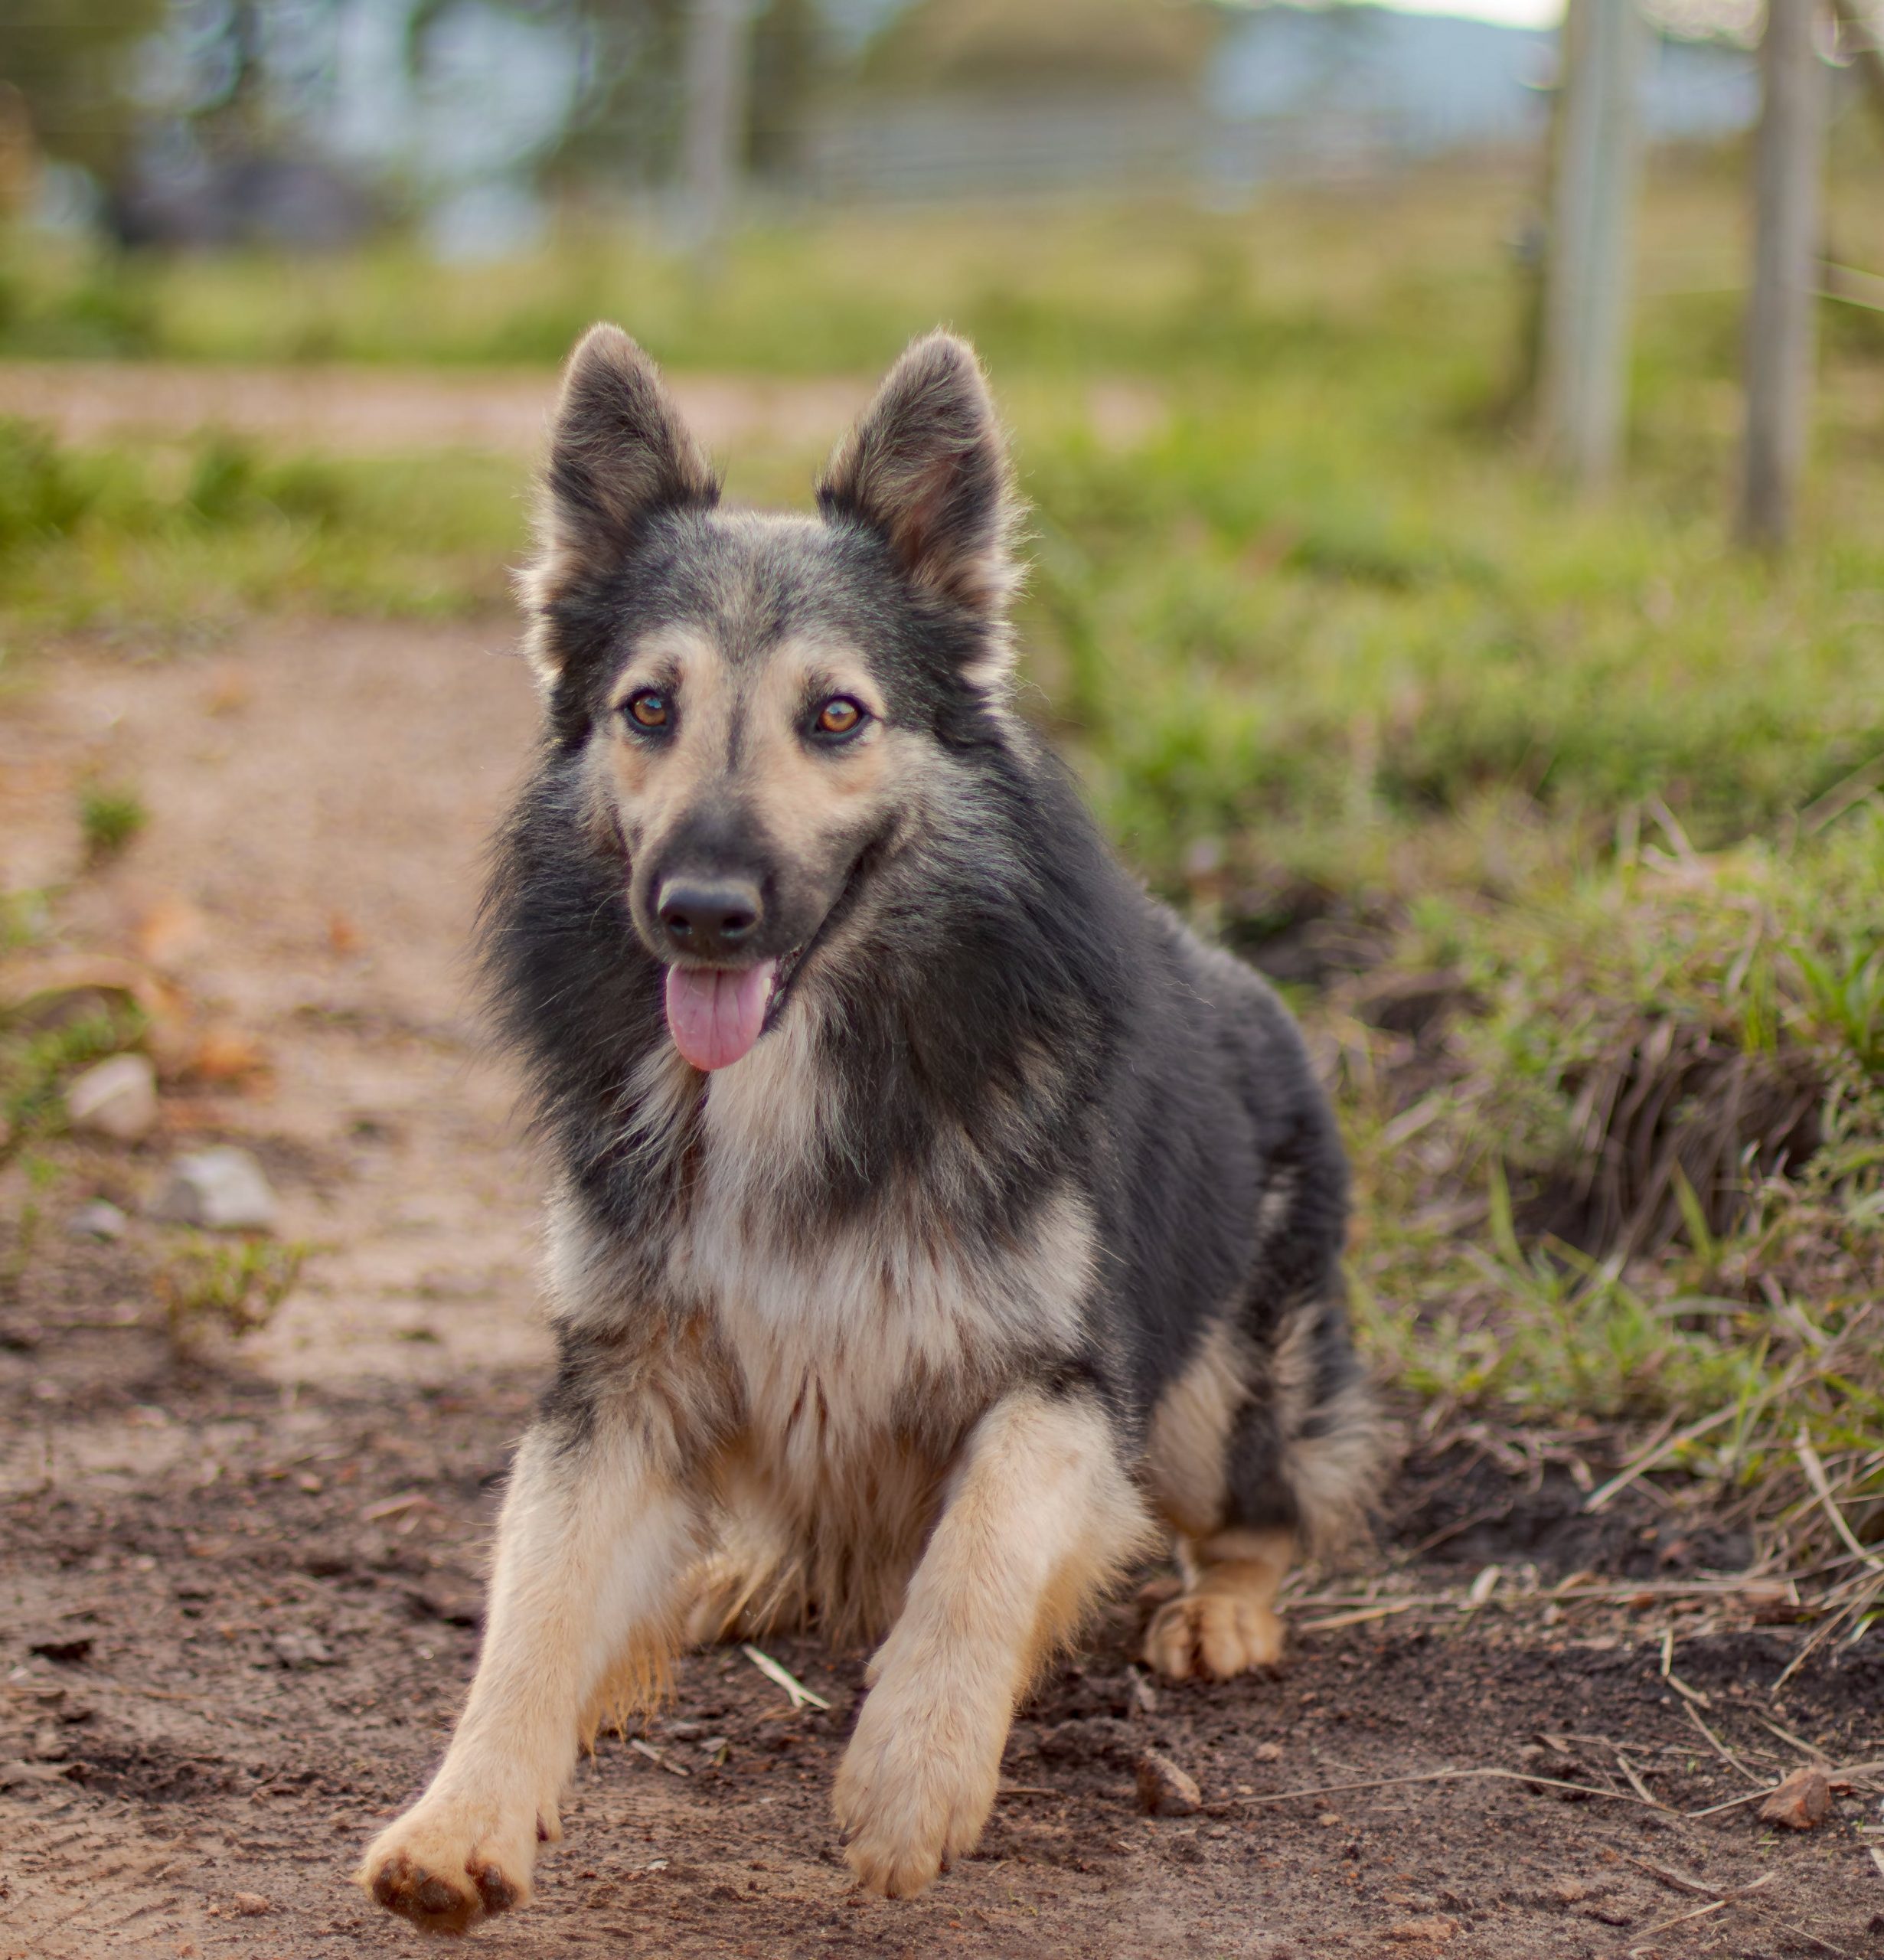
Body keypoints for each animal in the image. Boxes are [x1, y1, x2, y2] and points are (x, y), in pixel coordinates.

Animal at [357, 325, 1380, 1929]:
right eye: (648, 709)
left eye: (836, 717)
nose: (703, 912)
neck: (803, 1066)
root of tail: (1257, 985)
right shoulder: (620, 1380)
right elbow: (532, 1607)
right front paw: (462, 1819)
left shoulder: (1061, 1389)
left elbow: (980, 1550)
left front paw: (913, 1780)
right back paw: (739, 1579)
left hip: (1226, 1396)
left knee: (1262, 1513)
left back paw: (1218, 1612)